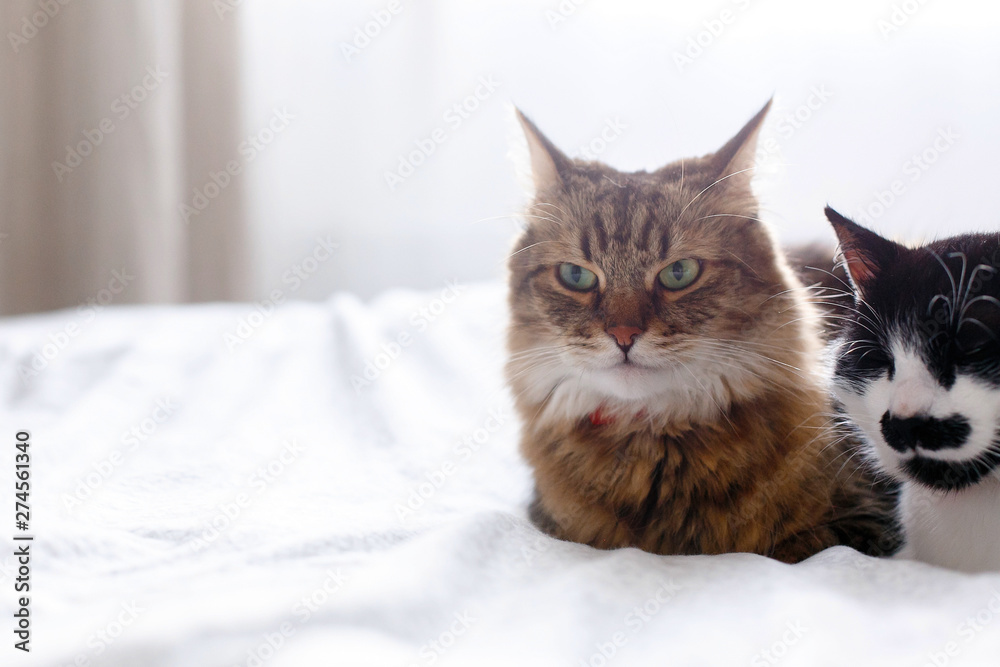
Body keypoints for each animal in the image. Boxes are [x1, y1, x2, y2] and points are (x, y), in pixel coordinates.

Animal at [508, 102, 900, 564]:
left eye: (679, 273)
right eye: (576, 276)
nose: (623, 334)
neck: (654, 437)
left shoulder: (860, 524)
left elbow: (790, 547)